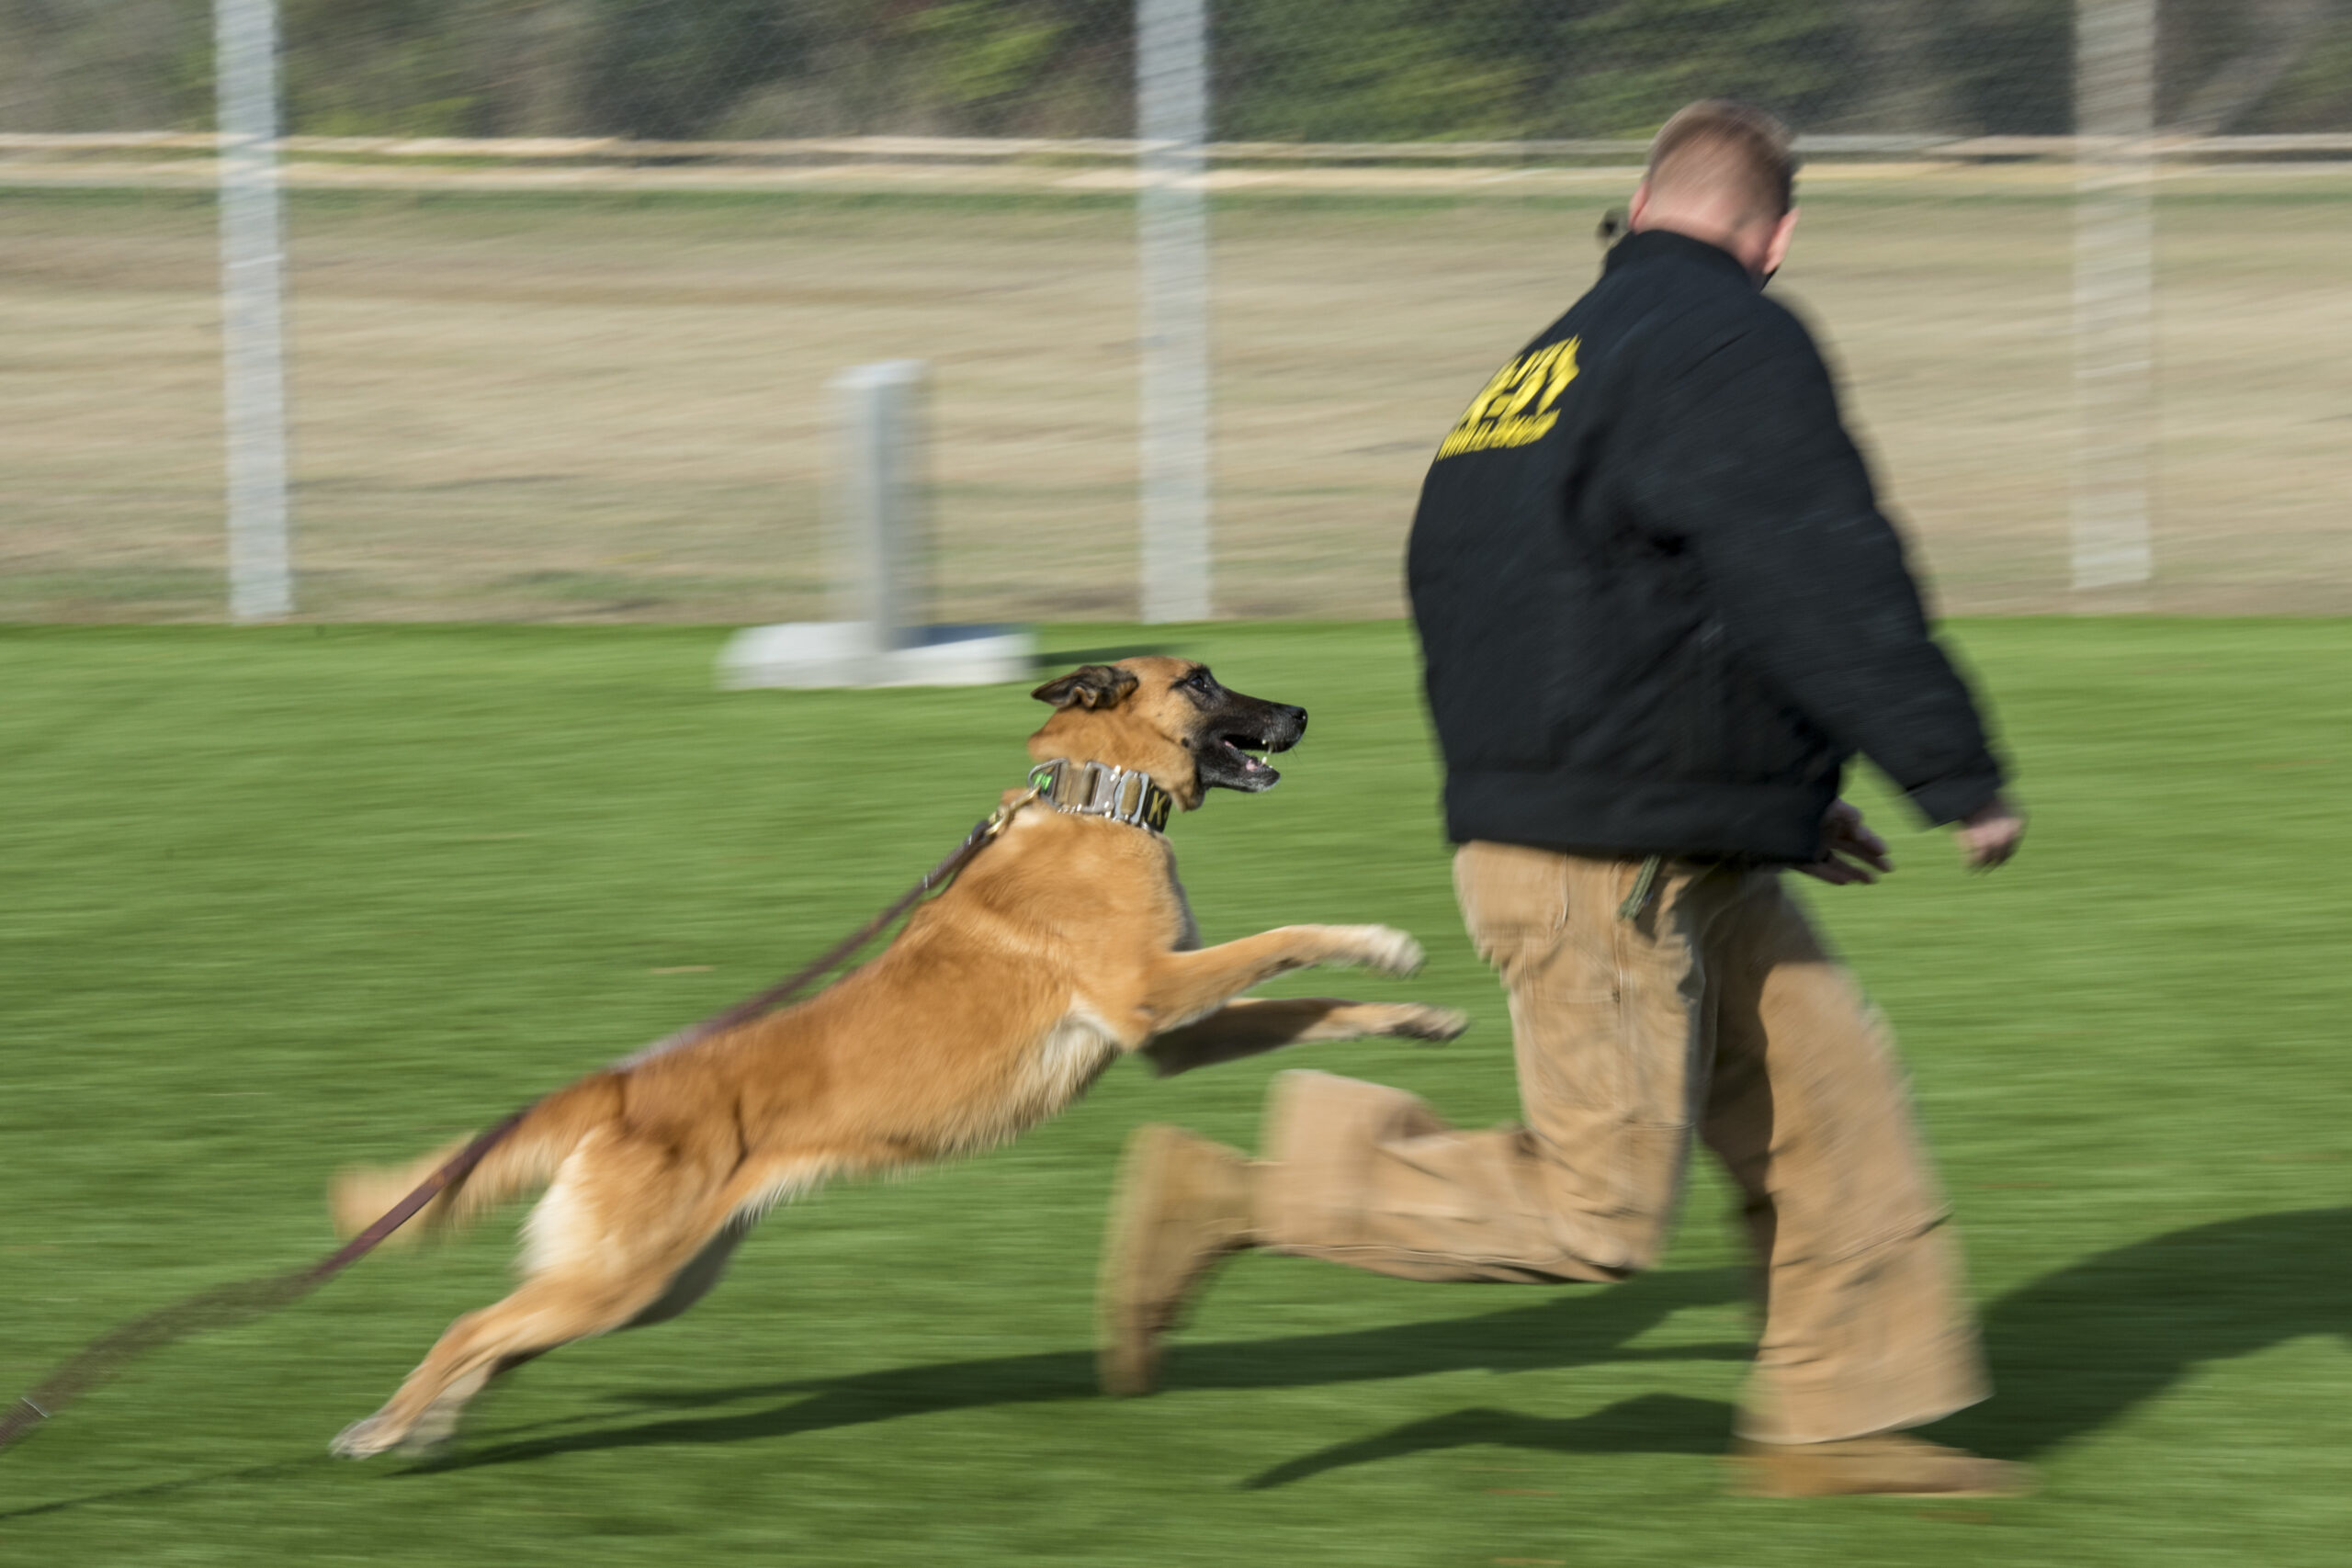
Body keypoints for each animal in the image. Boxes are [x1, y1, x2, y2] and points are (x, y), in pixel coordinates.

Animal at [326, 653, 1467, 1457]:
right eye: (1200, 681)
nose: (1303, 715)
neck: (1093, 799)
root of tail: (620, 1084)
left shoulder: (1177, 1035)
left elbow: (1317, 1004)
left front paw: (1416, 1019)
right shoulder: (1153, 995)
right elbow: (1288, 938)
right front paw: (1382, 940)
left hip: (650, 1283)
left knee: (502, 1335)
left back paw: (429, 1424)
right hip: (622, 1281)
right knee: (470, 1325)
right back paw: (386, 1426)